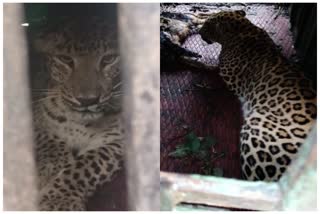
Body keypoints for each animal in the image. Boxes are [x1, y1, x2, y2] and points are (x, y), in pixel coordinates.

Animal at [31, 17, 124, 211]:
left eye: (109, 59)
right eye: (65, 59)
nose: (87, 101)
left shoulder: (118, 140)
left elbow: (88, 165)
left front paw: (58, 201)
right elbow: (48, 139)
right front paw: (49, 170)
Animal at [199, 9, 316, 181]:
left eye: (207, 25)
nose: (199, 32)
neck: (242, 29)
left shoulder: (229, 75)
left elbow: (213, 68)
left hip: (255, 131)